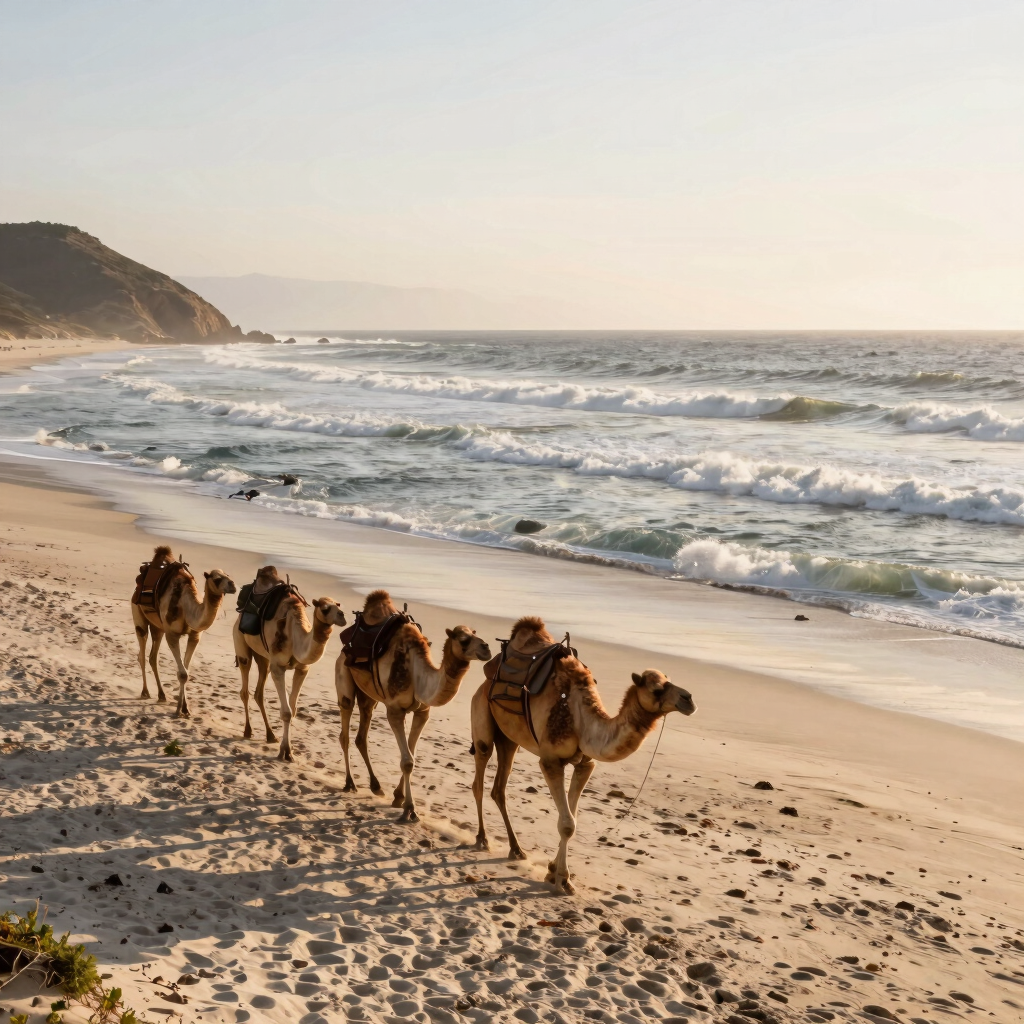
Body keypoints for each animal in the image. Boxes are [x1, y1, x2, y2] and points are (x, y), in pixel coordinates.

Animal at [131, 545, 236, 717]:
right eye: (216, 578)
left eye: (227, 575)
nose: (233, 585)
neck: (186, 605)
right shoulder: (172, 634)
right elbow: (182, 673)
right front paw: (178, 710)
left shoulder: (194, 635)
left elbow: (186, 671)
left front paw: (185, 708)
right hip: (139, 617)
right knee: (142, 653)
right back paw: (145, 692)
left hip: (158, 628)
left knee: (153, 657)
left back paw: (162, 695)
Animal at [233, 565, 347, 762]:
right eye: (325, 608)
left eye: (338, 605)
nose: (342, 616)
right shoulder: (278, 666)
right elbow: (285, 712)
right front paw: (284, 752)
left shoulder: (302, 669)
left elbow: (292, 710)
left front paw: (289, 750)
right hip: (241, 646)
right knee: (245, 690)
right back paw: (248, 731)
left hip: (263, 658)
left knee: (259, 692)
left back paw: (270, 735)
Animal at [335, 590, 491, 822]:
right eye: (464, 640)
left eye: (474, 632)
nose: (486, 648)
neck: (418, 675)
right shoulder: (394, 710)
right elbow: (407, 761)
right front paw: (409, 809)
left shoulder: (422, 712)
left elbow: (412, 754)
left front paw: (398, 798)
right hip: (344, 676)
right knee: (344, 731)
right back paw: (349, 783)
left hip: (369, 695)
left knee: (361, 734)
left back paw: (376, 786)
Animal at [469, 615, 696, 894]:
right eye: (656, 689)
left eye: (669, 680)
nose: (688, 699)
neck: (581, 719)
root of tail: (486, 677)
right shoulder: (550, 761)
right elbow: (567, 823)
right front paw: (562, 880)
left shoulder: (585, 763)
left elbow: (571, 818)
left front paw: (554, 871)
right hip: (482, 721)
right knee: (479, 777)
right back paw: (482, 839)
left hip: (509, 739)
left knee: (499, 788)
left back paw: (516, 849)